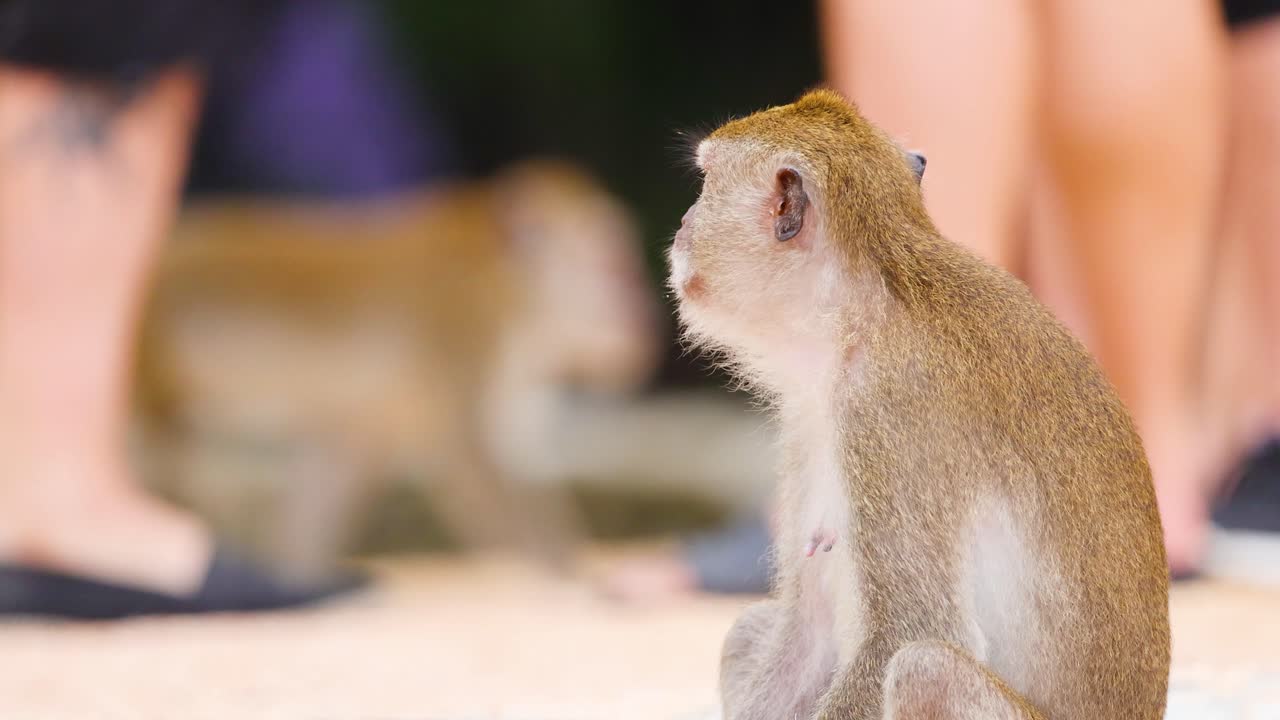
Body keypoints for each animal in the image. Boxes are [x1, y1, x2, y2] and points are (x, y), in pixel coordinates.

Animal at [134, 159, 662, 579]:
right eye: (616, 271)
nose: (644, 321)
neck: (513, 293)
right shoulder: (460, 336)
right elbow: (475, 461)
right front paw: (571, 581)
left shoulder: (379, 420)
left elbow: (333, 476)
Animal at [669, 90, 1170, 719]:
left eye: (706, 181)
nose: (683, 226)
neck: (858, 316)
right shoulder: (813, 413)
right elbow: (806, 634)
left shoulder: (891, 415)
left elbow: (908, 633)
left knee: (923, 668)